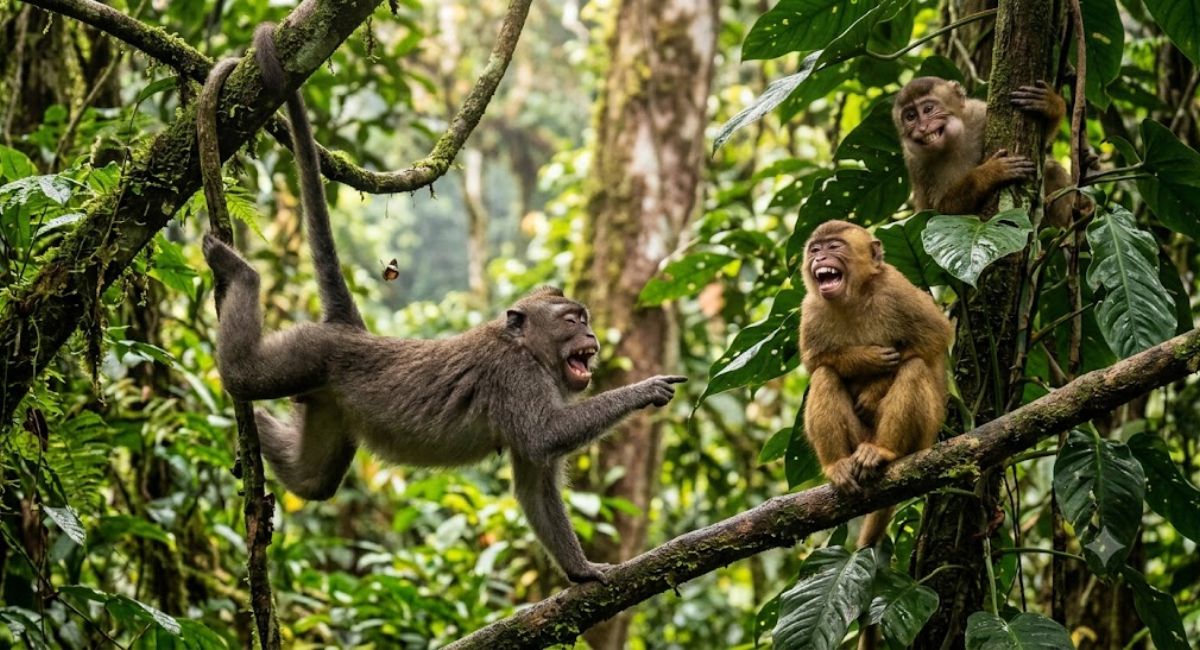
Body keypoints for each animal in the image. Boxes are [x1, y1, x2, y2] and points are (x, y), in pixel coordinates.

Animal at [196, 25, 687, 583]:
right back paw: (242, 278)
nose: (591, 337)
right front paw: (645, 390)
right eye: (572, 319)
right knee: (244, 376)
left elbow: (534, 482)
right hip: (309, 351)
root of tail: (350, 331)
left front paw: (581, 571)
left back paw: (257, 430)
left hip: (329, 403)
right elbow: (544, 435)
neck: (526, 349)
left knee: (314, 481)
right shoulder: (514, 377)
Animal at [798, 220, 953, 549]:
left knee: (914, 368)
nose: (820, 258)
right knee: (824, 375)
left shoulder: (896, 289)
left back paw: (883, 451)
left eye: (834, 247)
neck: (853, 298)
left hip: (921, 439)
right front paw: (865, 360)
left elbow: (935, 336)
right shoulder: (811, 308)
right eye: (815, 249)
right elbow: (816, 362)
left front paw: (875, 388)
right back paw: (836, 464)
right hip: (856, 438)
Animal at [894, 76, 1083, 228]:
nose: (922, 128)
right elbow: (940, 212)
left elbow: (1043, 141)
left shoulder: (979, 113)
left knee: (1050, 168)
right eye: (910, 117)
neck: (954, 143)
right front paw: (991, 172)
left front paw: (1051, 105)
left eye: (928, 109)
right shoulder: (917, 164)